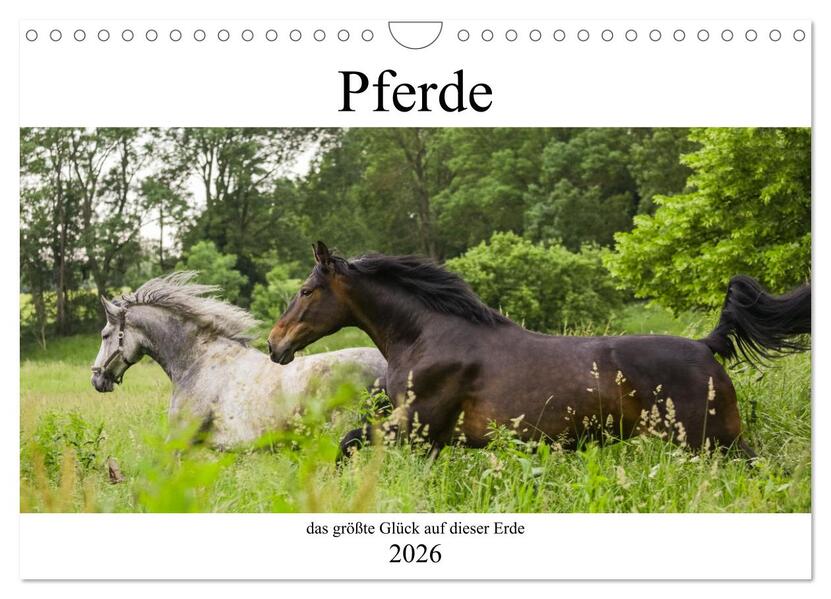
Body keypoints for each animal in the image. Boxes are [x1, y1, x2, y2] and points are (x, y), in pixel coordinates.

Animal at [267, 241, 810, 459]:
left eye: (306, 290)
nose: (275, 345)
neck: (425, 337)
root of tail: (705, 345)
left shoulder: (416, 427)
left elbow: (346, 444)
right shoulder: (432, 440)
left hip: (714, 440)